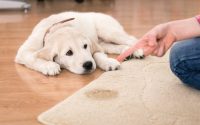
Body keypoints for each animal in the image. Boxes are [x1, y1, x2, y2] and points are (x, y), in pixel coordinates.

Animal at [15, 11, 144, 75]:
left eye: (85, 46)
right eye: (69, 53)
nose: (88, 65)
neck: (58, 27)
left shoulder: (93, 45)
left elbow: (97, 55)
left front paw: (108, 62)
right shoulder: (24, 51)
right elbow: (33, 58)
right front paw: (49, 66)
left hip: (108, 31)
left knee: (132, 39)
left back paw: (137, 51)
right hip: (104, 41)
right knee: (112, 46)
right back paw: (127, 52)